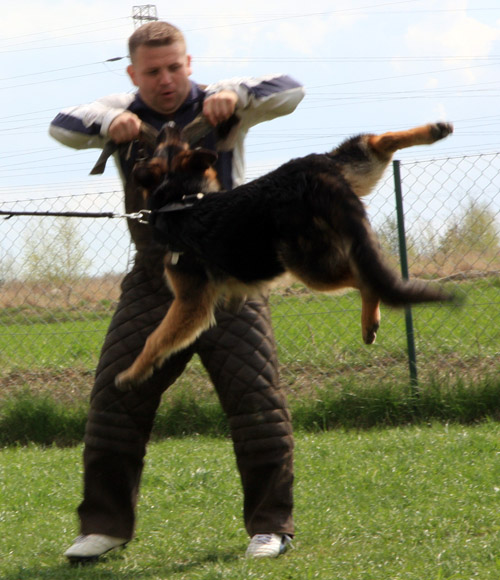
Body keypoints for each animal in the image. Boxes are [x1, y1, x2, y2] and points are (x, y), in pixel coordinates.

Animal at [115, 119, 455, 390]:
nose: (169, 124)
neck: (182, 197)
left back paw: (368, 322)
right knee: (377, 141)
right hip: (351, 171)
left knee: (365, 281)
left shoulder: (190, 303)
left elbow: (155, 340)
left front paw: (133, 373)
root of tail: (315, 176)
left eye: (167, 143)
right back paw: (435, 130)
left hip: (308, 265)